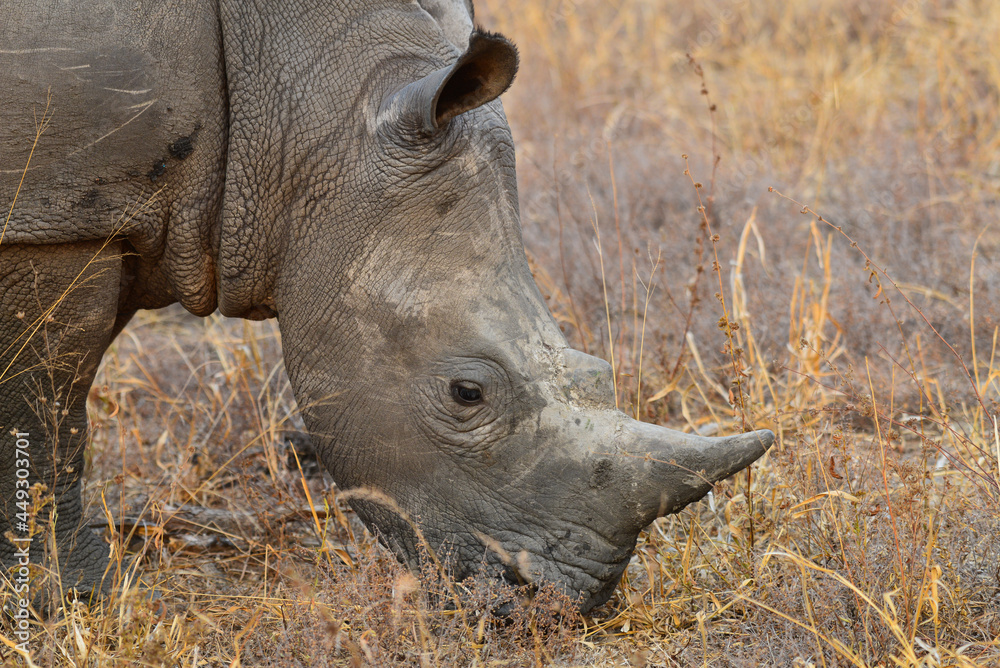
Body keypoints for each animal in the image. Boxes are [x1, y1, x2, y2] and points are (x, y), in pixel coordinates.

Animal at [0, 0, 773, 612]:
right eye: (467, 393)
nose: (563, 605)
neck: (313, 101)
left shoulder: (105, 208)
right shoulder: (55, 216)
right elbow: (48, 408)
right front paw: (67, 600)